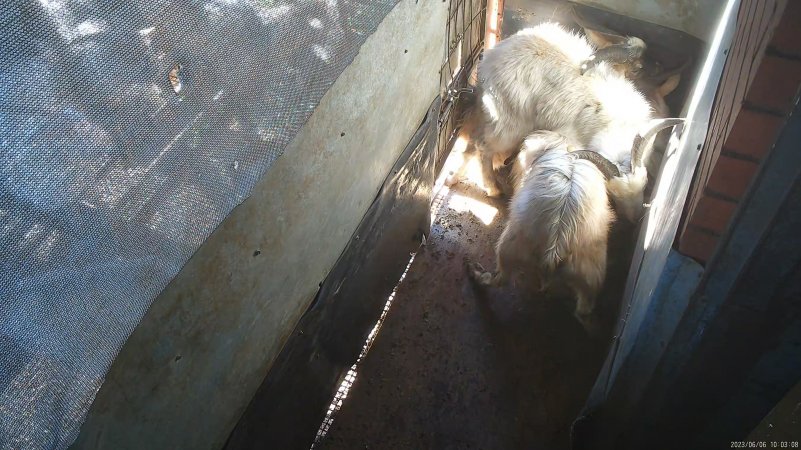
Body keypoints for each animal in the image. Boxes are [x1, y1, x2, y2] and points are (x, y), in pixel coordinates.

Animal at [466, 130, 616, 330]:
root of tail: (556, 247)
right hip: (591, 274)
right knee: (583, 311)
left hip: (509, 247)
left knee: (500, 279)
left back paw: (475, 272)